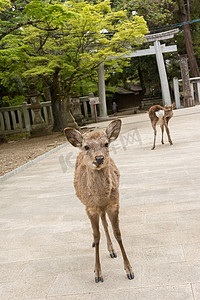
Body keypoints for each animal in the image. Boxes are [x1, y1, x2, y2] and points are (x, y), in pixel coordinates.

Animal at [64, 119, 134, 284]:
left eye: (106, 143)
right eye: (86, 146)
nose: (99, 158)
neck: (101, 197)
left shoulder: (114, 204)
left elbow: (117, 233)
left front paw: (129, 270)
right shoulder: (90, 208)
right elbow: (97, 236)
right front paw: (97, 274)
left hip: (104, 209)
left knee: (105, 224)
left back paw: (112, 250)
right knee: (100, 227)